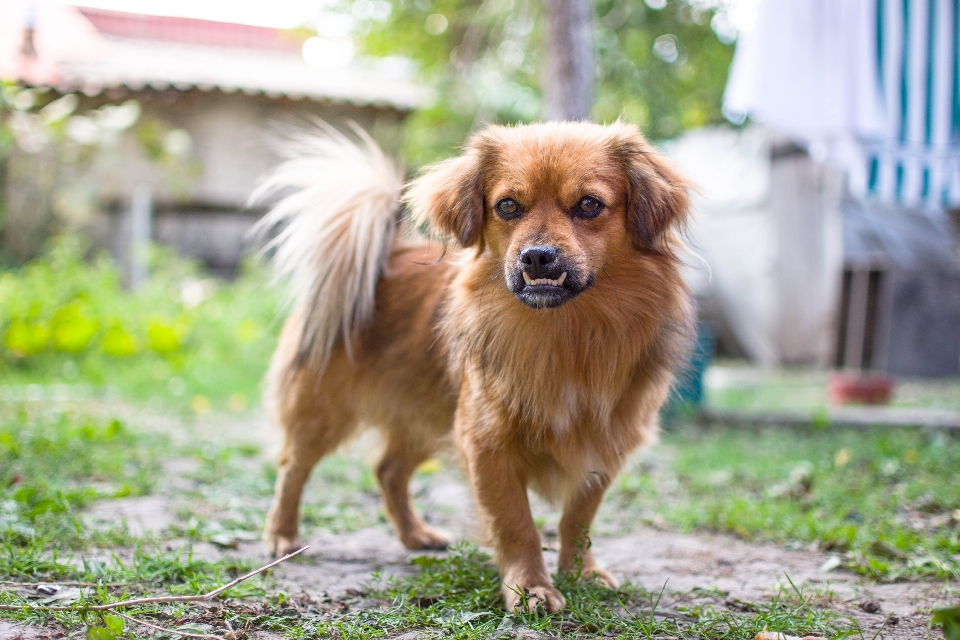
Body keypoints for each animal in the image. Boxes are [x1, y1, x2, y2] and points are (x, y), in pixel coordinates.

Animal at [253, 117, 688, 612]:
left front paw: (581, 572)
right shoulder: (486, 443)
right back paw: (282, 535)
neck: (564, 334)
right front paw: (530, 586)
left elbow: (579, 519)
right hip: (325, 410)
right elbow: (516, 523)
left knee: (388, 469)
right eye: (508, 206)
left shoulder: (604, 441)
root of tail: (386, 256)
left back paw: (415, 535)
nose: (537, 255)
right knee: (293, 466)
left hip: (428, 410)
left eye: (589, 205)